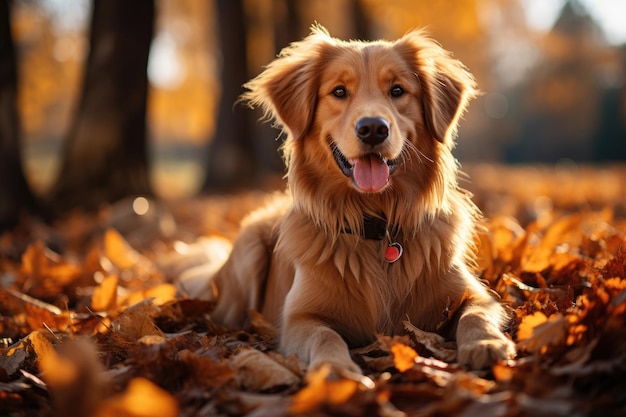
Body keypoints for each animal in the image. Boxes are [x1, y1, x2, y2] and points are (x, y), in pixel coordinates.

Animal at [208, 25, 512, 370]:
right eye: (339, 92)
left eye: (397, 90)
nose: (373, 128)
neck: (378, 226)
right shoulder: (299, 319)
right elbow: (325, 335)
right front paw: (335, 368)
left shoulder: (477, 295)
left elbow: (475, 314)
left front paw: (486, 342)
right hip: (249, 246)